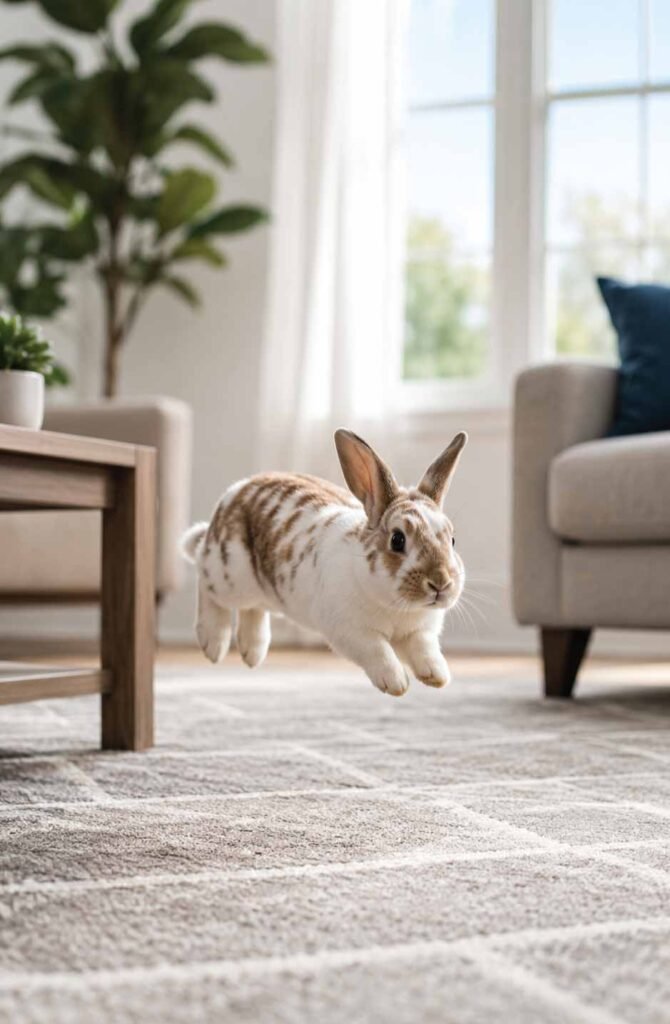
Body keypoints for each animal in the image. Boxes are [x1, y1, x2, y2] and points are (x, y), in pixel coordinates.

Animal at [181, 429, 467, 697]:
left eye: (452, 540)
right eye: (398, 540)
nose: (440, 583)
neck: (398, 608)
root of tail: (235, 492)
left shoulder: (420, 633)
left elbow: (424, 650)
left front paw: (437, 676)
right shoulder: (351, 630)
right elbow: (378, 651)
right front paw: (395, 682)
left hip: (262, 590)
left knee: (252, 609)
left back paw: (252, 651)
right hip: (228, 574)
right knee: (204, 579)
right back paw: (213, 642)